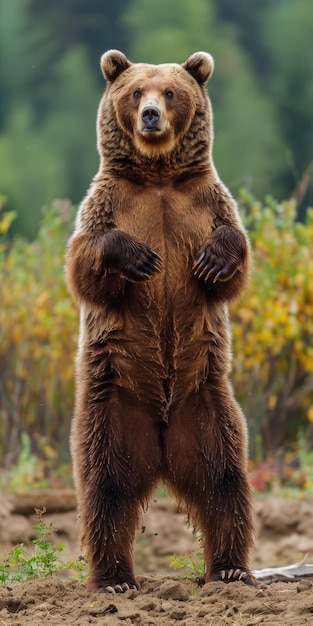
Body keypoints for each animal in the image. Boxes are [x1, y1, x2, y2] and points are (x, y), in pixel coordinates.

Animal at [64, 48, 255, 588]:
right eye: (135, 92)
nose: (151, 115)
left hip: (208, 405)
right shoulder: (108, 202)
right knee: (105, 487)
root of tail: (164, 445)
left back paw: (230, 568)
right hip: (111, 409)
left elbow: (233, 254)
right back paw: (114, 576)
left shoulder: (207, 200)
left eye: (170, 92)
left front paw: (212, 260)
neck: (158, 178)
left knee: (225, 480)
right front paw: (141, 258)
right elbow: (86, 262)